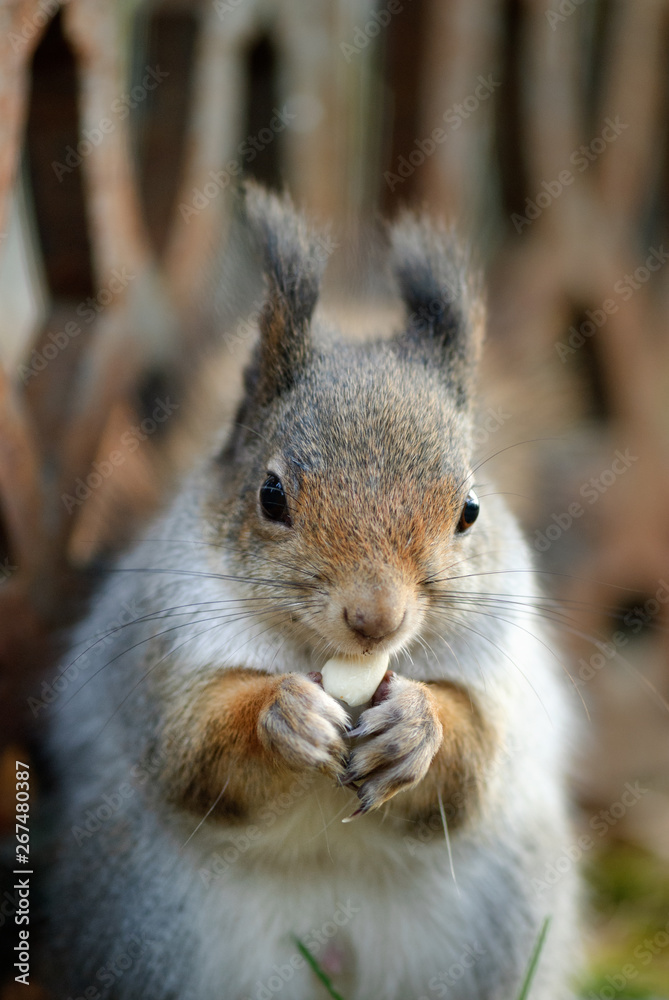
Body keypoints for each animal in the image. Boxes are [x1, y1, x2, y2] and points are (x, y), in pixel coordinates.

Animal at [43, 185, 579, 999]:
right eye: (270, 496)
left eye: (470, 510)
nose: (376, 618)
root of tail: (332, 960)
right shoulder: (166, 650)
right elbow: (195, 750)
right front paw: (285, 714)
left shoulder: (500, 673)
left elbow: (473, 766)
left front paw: (416, 726)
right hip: (143, 921)